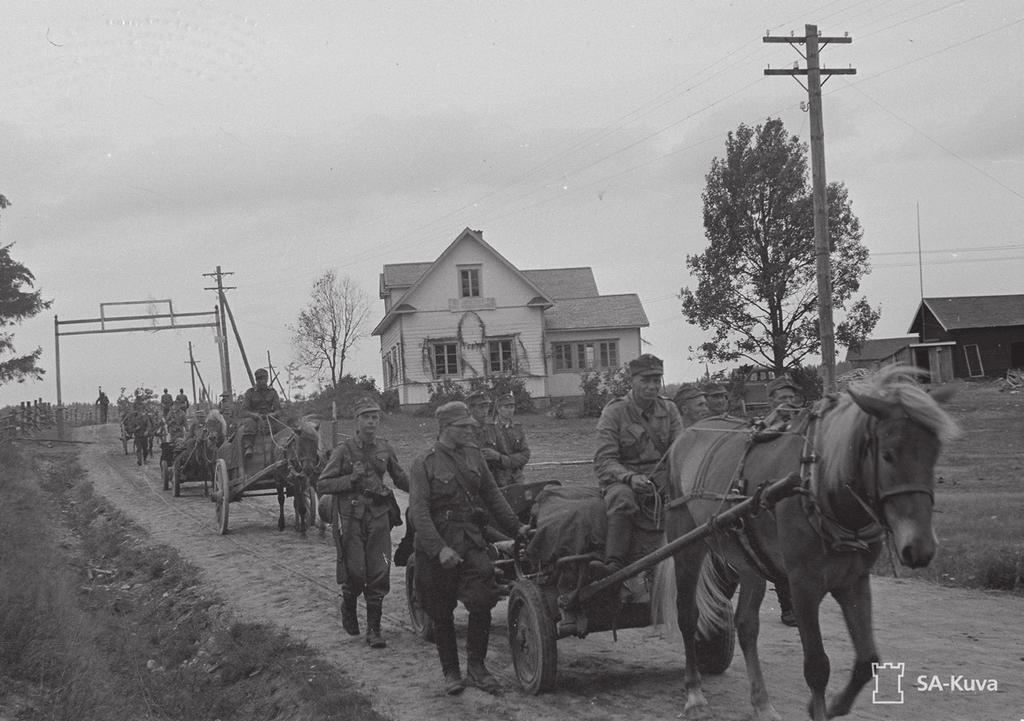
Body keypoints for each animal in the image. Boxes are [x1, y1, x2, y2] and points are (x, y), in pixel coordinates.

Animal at [655, 368, 958, 721]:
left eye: (934, 453)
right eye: (888, 454)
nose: (920, 548)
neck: (816, 483)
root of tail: (687, 434)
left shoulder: (853, 581)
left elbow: (867, 661)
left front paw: (836, 705)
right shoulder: (803, 585)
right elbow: (817, 666)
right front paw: (819, 706)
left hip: (750, 560)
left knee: (746, 625)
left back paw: (761, 702)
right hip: (687, 547)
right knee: (688, 616)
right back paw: (694, 692)